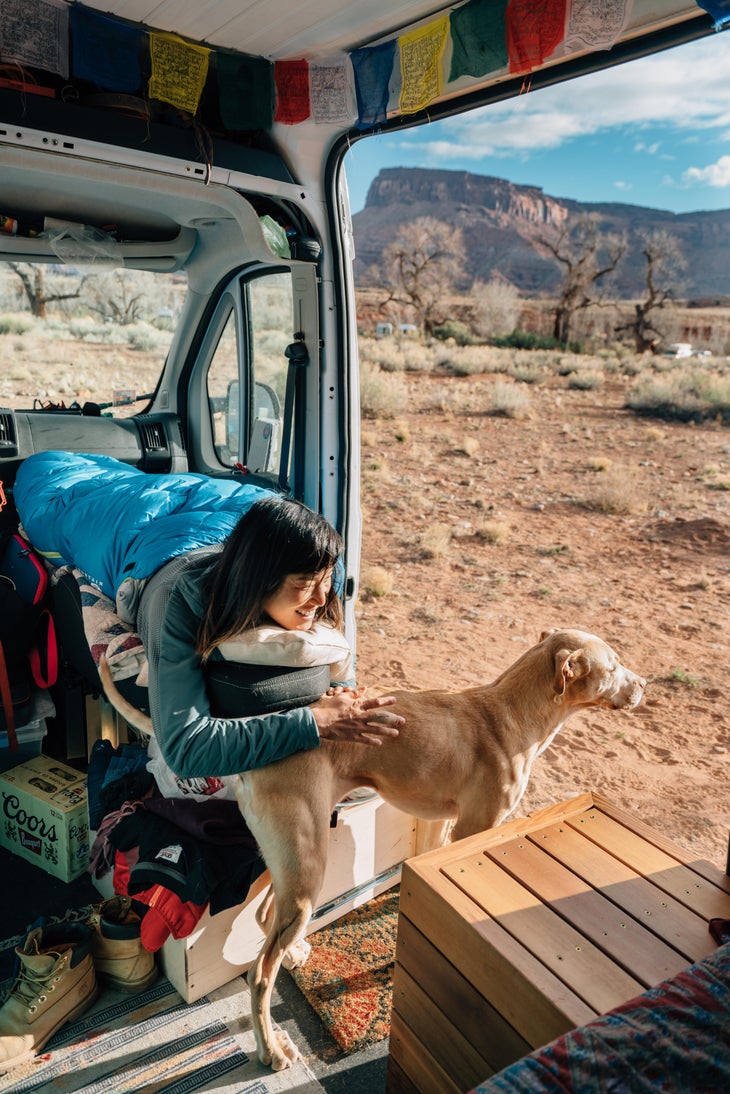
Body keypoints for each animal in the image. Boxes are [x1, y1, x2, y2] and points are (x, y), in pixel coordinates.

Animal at [98, 630, 643, 1072]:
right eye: (614, 665)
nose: (644, 687)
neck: (510, 713)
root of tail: (256, 743)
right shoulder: (473, 831)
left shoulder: (441, 829)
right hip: (306, 867)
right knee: (259, 974)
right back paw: (272, 1050)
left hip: (292, 861)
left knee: (265, 920)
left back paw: (295, 954)